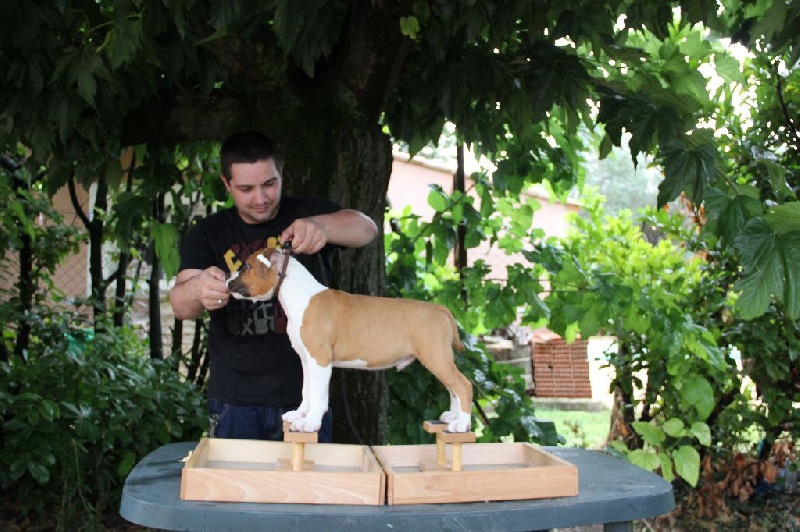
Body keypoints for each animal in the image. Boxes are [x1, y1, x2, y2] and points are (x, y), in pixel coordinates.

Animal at [226, 246, 472, 434]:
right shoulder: (307, 361)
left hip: (435, 356)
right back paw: (453, 417)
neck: (300, 295)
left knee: (463, 385)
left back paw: (461, 424)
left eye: (246, 267)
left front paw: (310, 422)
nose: (227, 281)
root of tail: (440, 309)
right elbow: (307, 391)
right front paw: (300, 414)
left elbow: (317, 394)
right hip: (439, 359)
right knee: (452, 387)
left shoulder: (320, 361)